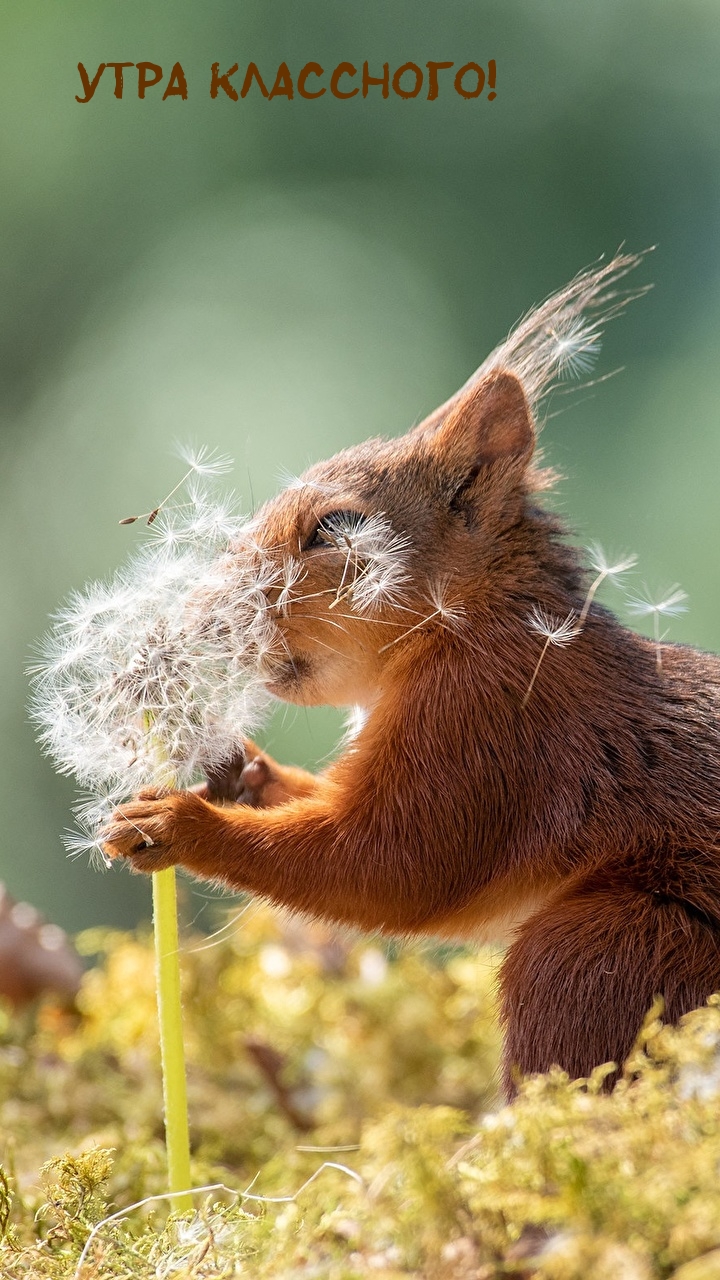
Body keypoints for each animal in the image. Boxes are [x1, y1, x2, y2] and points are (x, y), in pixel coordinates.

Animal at [101, 254, 717, 1095]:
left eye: (335, 528)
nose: (204, 613)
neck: (468, 624)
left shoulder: (488, 724)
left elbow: (393, 865)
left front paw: (181, 824)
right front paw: (241, 772)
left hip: (604, 949)